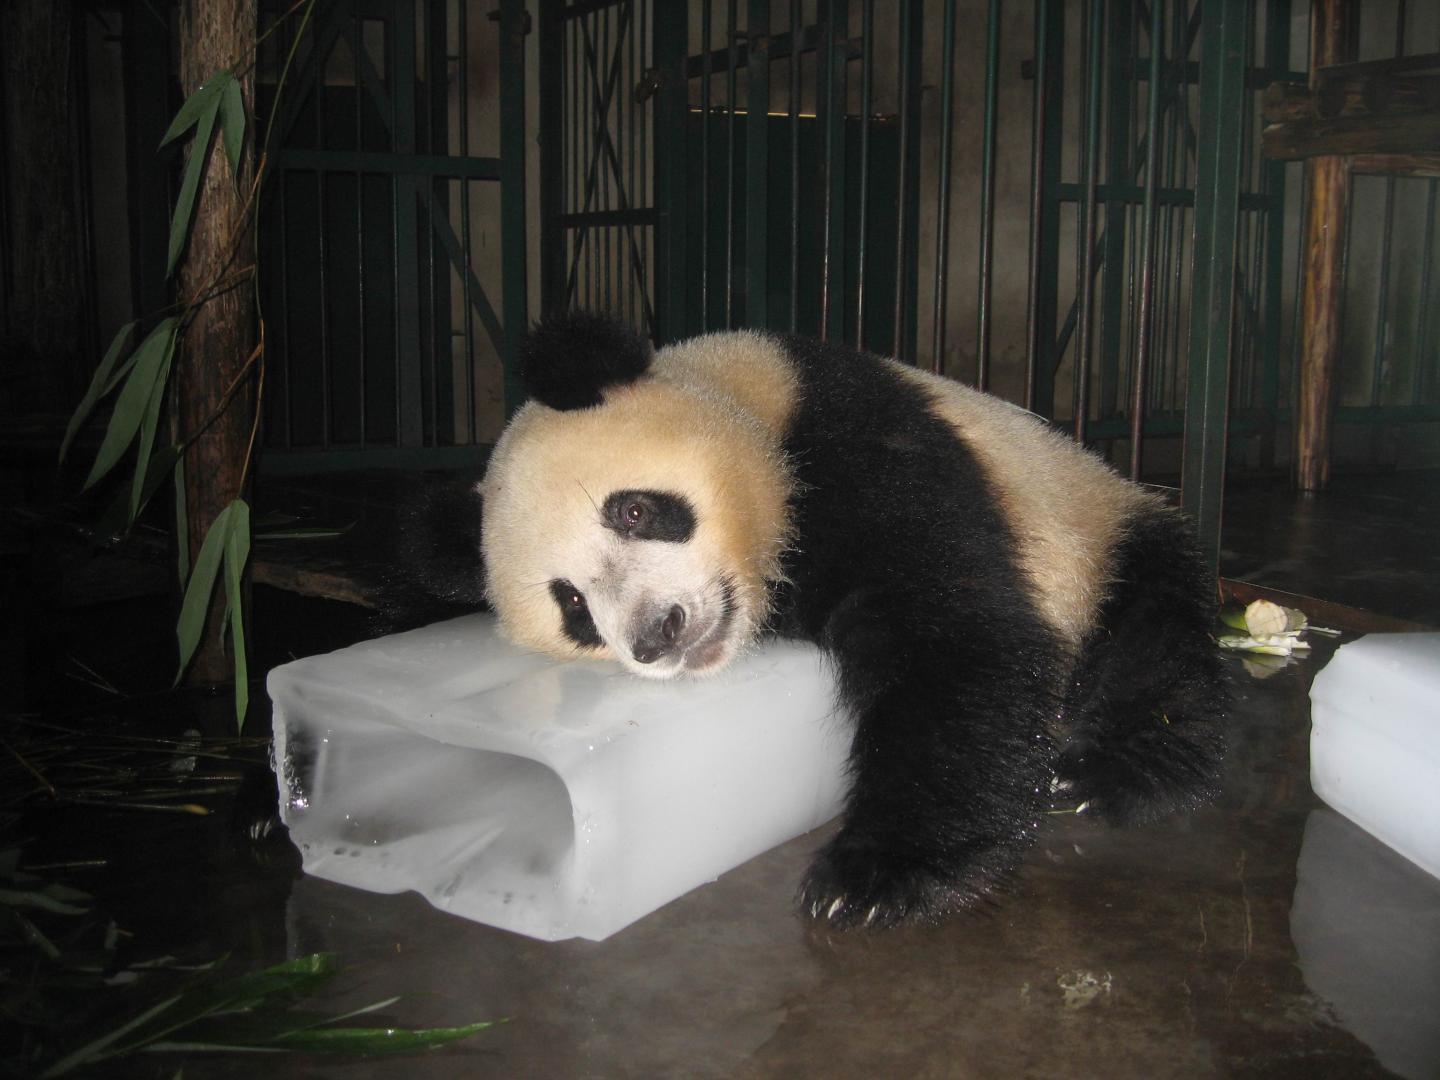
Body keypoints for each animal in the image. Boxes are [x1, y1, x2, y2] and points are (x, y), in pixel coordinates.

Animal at [478, 312, 1221, 933]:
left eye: (632, 510)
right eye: (574, 608)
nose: (657, 633)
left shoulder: (867, 443)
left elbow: (956, 637)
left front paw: (873, 875)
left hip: (1094, 529)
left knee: (1154, 636)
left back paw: (1116, 769)